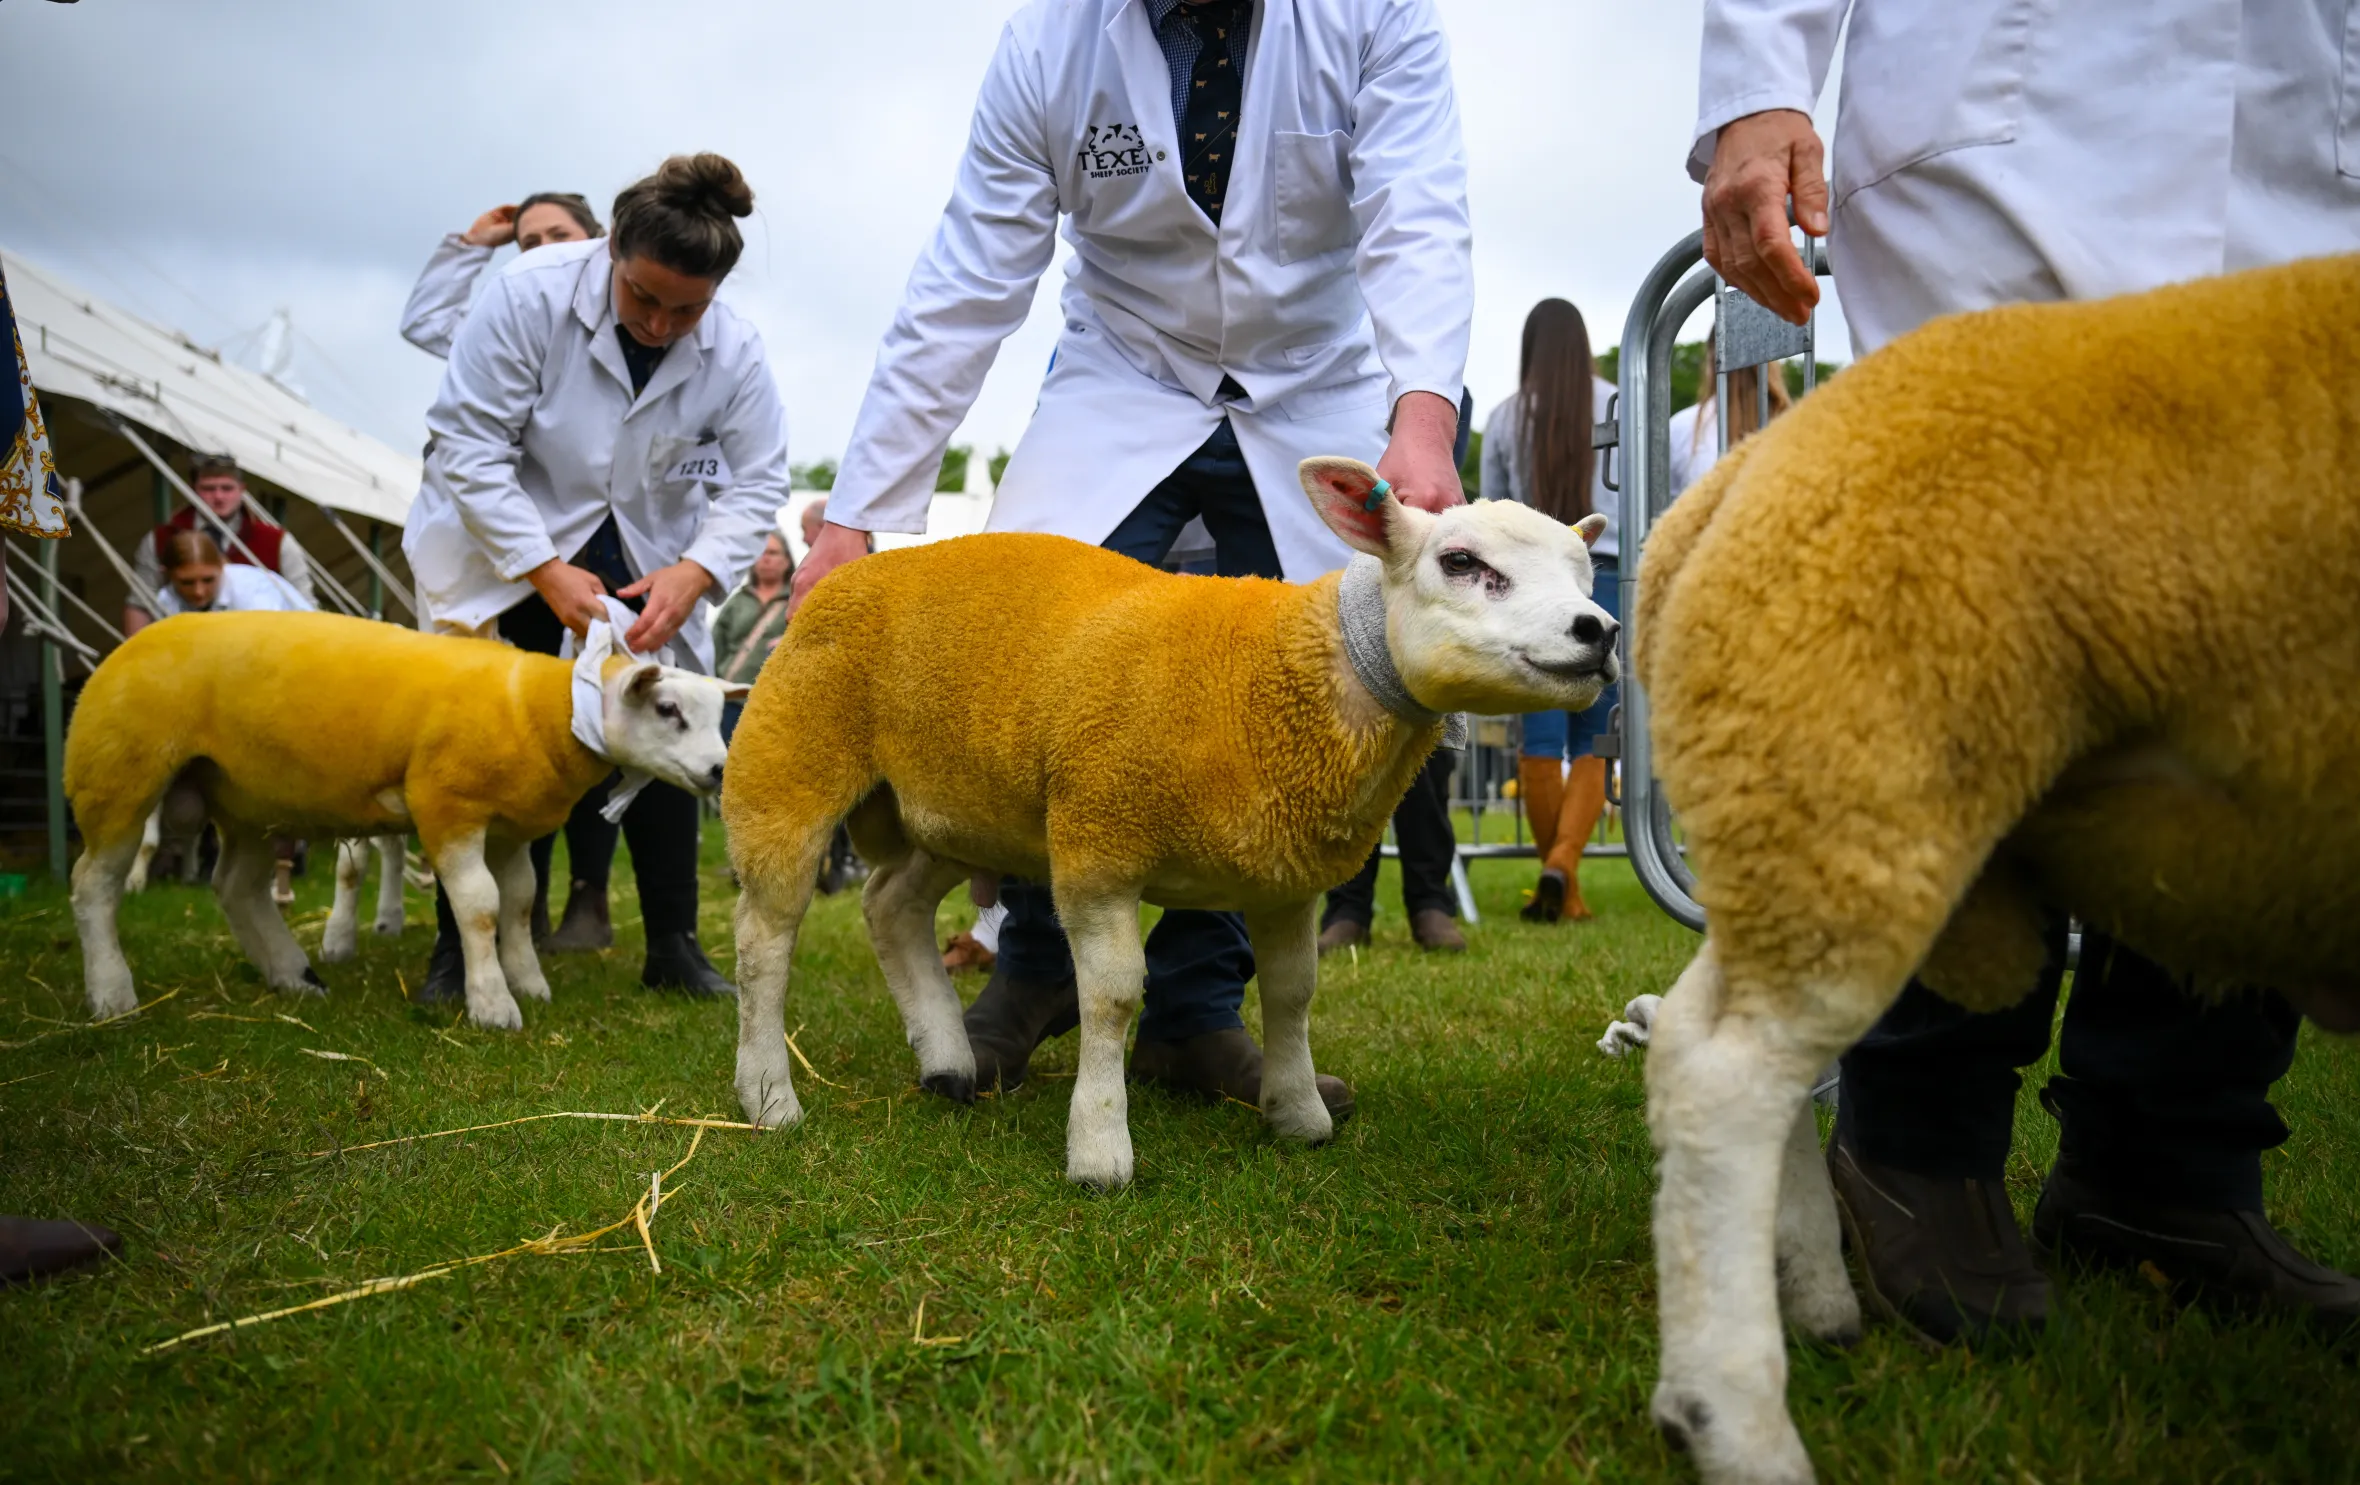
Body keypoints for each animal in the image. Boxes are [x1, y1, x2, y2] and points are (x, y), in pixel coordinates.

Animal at [66, 611, 744, 1032]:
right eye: (667, 709)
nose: (719, 771)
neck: (544, 712)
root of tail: (124, 646)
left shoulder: (510, 828)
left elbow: (521, 902)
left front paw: (528, 982)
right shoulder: (449, 806)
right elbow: (479, 906)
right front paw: (492, 1003)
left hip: (247, 800)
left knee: (236, 888)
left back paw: (293, 977)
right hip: (119, 776)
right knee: (93, 884)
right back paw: (112, 992)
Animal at [722, 457, 1618, 1189]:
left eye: (1585, 575)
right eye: (1460, 562)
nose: (1599, 632)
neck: (1282, 673)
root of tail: (848, 575)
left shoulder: (1284, 877)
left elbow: (1292, 992)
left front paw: (1298, 1112)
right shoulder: (1098, 844)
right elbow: (1114, 996)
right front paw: (1099, 1150)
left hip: (952, 807)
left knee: (890, 904)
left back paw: (947, 1061)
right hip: (788, 770)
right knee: (765, 938)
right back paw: (769, 1095)